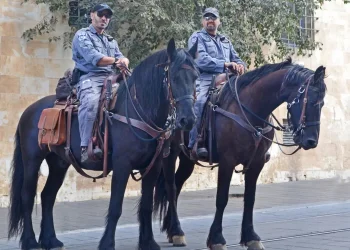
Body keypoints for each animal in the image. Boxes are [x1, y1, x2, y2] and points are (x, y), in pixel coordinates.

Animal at [6, 39, 200, 250]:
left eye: (195, 77)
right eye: (174, 76)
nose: (188, 120)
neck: (138, 111)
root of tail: (29, 110)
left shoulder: (153, 167)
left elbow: (146, 206)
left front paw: (148, 242)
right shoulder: (122, 165)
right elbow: (115, 207)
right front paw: (107, 243)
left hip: (59, 163)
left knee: (47, 197)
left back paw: (51, 240)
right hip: (32, 160)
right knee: (27, 196)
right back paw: (30, 241)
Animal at [154, 58, 326, 248]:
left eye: (322, 103)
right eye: (308, 100)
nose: (311, 141)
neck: (251, 110)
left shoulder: (257, 163)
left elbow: (250, 199)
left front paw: (251, 237)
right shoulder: (227, 162)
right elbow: (221, 199)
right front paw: (217, 239)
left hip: (187, 159)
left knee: (177, 185)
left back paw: (172, 230)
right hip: (170, 154)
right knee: (171, 187)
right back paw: (176, 230)